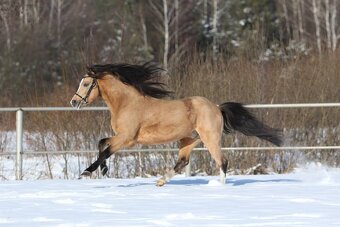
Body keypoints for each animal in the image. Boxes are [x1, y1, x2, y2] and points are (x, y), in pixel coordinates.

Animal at [69, 62, 282, 186]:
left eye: (86, 84)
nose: (73, 102)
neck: (127, 103)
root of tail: (216, 107)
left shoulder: (127, 139)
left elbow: (105, 150)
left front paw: (86, 172)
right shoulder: (121, 137)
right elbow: (101, 143)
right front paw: (103, 170)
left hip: (210, 138)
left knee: (222, 161)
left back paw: (219, 187)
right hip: (189, 139)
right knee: (183, 161)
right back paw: (161, 181)